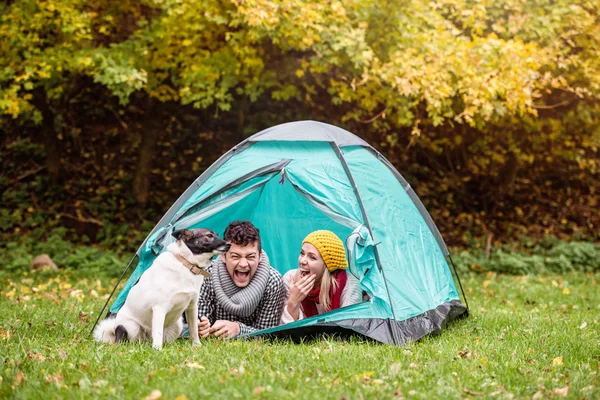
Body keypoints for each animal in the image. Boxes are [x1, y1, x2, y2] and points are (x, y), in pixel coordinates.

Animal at [94, 228, 230, 350]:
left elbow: (194, 330)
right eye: (209, 235)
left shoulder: (192, 307)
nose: (229, 244)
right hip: (132, 327)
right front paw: (157, 351)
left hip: (177, 325)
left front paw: (197, 346)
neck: (186, 264)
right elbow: (158, 334)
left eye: (217, 234)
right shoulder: (159, 308)